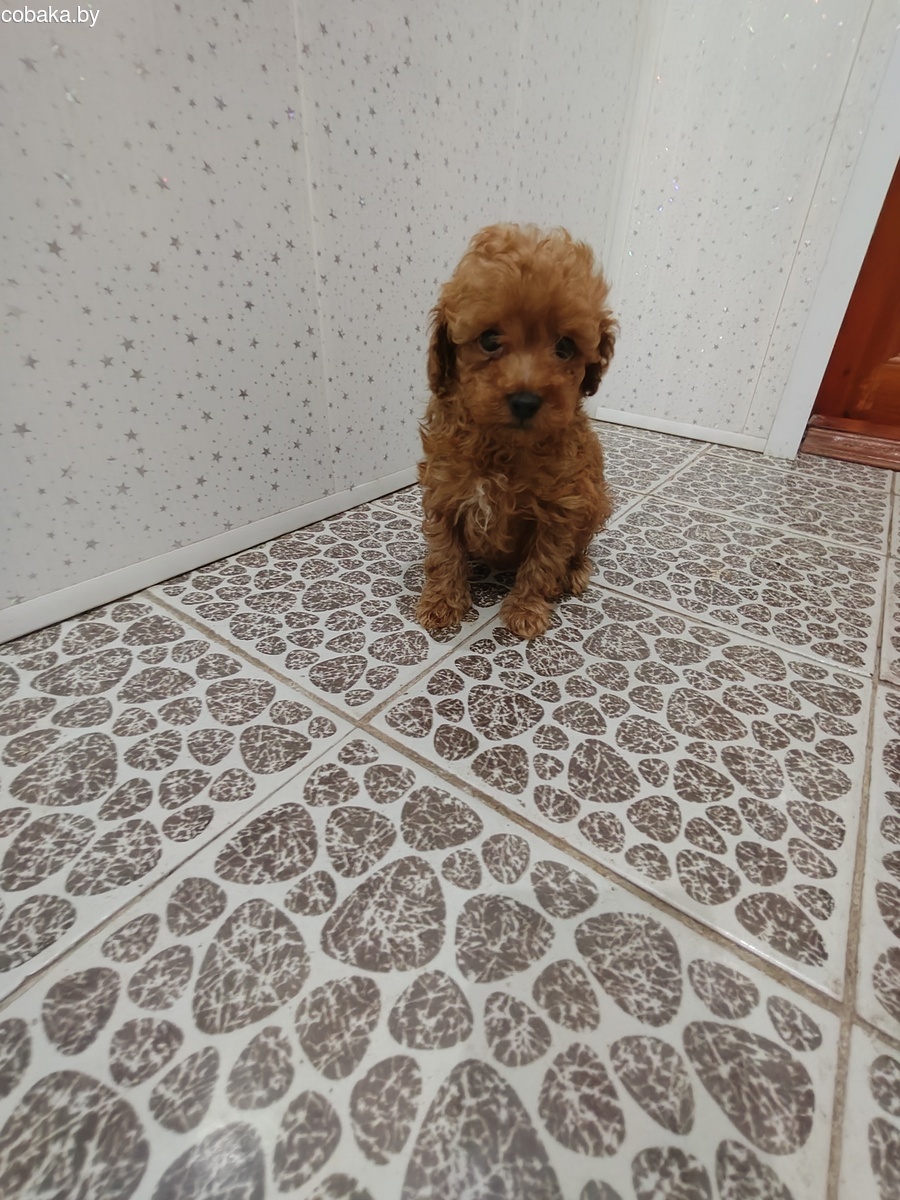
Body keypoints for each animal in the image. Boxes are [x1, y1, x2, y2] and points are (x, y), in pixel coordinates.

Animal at [415, 223, 617, 640]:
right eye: (490, 339)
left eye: (565, 346)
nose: (525, 400)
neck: (502, 445)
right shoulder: (444, 490)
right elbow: (445, 552)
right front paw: (442, 603)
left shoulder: (561, 507)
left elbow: (543, 562)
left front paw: (526, 610)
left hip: (594, 503)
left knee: (577, 549)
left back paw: (574, 571)